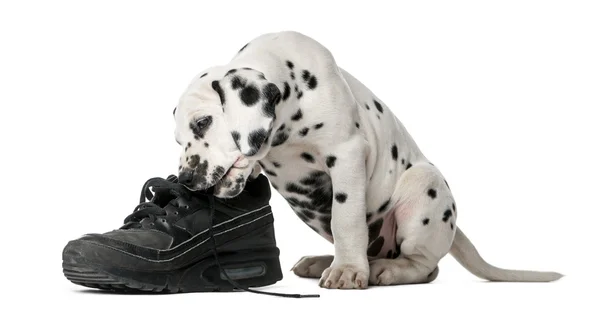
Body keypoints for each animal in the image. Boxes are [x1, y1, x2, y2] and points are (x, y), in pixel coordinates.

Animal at [172, 30, 564, 288]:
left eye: (203, 122)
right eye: (178, 139)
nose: (186, 180)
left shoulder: (345, 154)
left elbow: (346, 220)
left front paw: (347, 271)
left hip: (423, 189)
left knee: (424, 266)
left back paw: (388, 271)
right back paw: (325, 261)